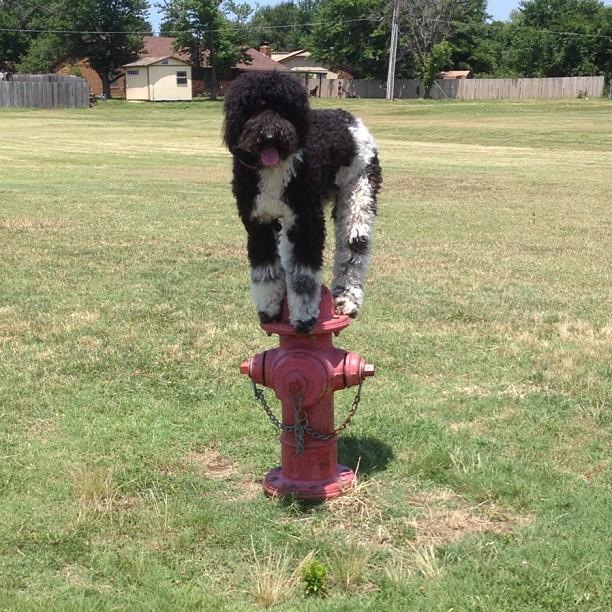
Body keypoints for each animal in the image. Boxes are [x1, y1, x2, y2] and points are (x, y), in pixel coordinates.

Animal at [222, 70, 380, 334]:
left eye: (283, 108)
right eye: (252, 109)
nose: (269, 135)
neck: (274, 169)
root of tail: (349, 118)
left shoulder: (307, 223)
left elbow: (303, 276)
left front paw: (304, 318)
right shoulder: (258, 223)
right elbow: (265, 269)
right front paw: (269, 309)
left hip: (359, 193)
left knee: (353, 249)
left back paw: (346, 299)